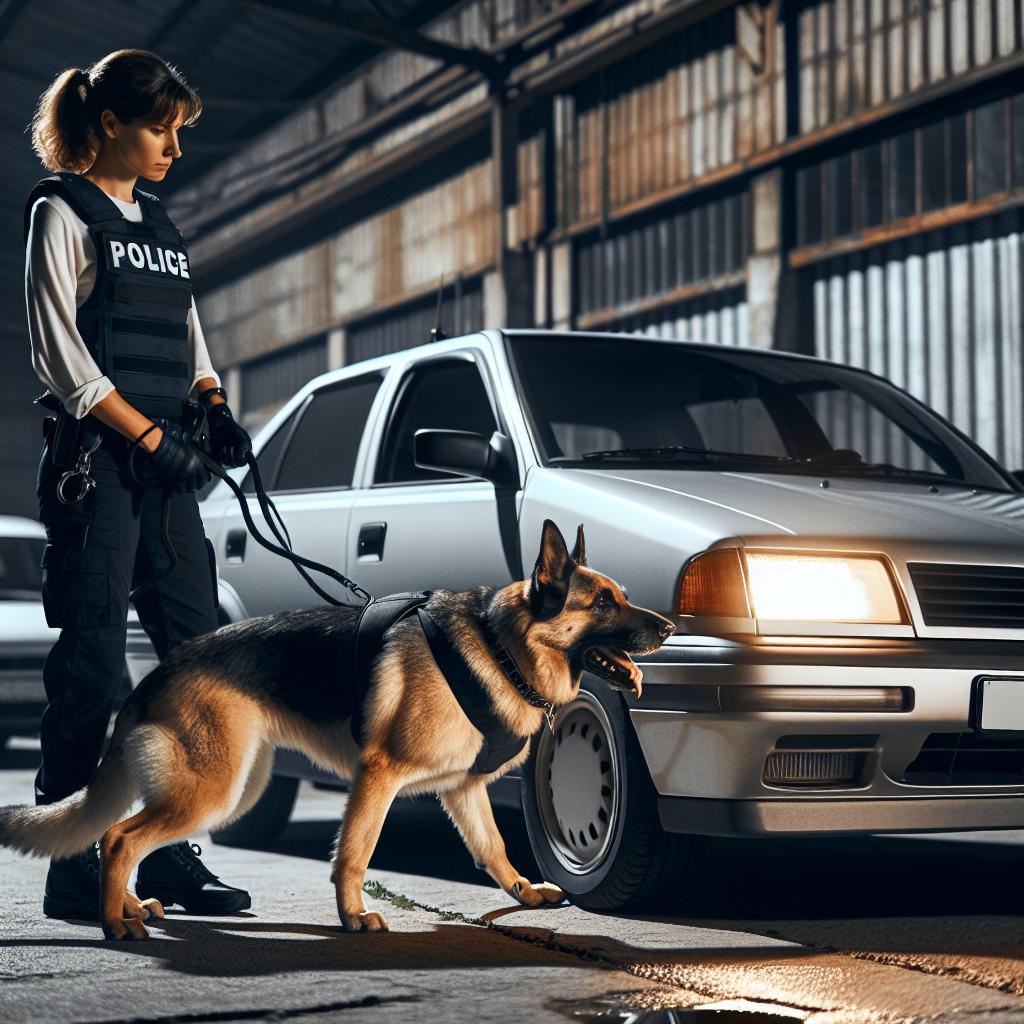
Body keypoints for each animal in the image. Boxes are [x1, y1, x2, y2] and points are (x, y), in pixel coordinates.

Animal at [0, 524, 675, 937]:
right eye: (605, 603)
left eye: (621, 596)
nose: (670, 626)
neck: (498, 646)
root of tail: (160, 671)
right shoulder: (378, 775)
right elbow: (355, 852)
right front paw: (353, 917)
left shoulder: (463, 789)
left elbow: (494, 848)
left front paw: (525, 893)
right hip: (213, 789)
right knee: (118, 836)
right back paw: (115, 922)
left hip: (231, 786)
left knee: (123, 834)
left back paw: (129, 905)